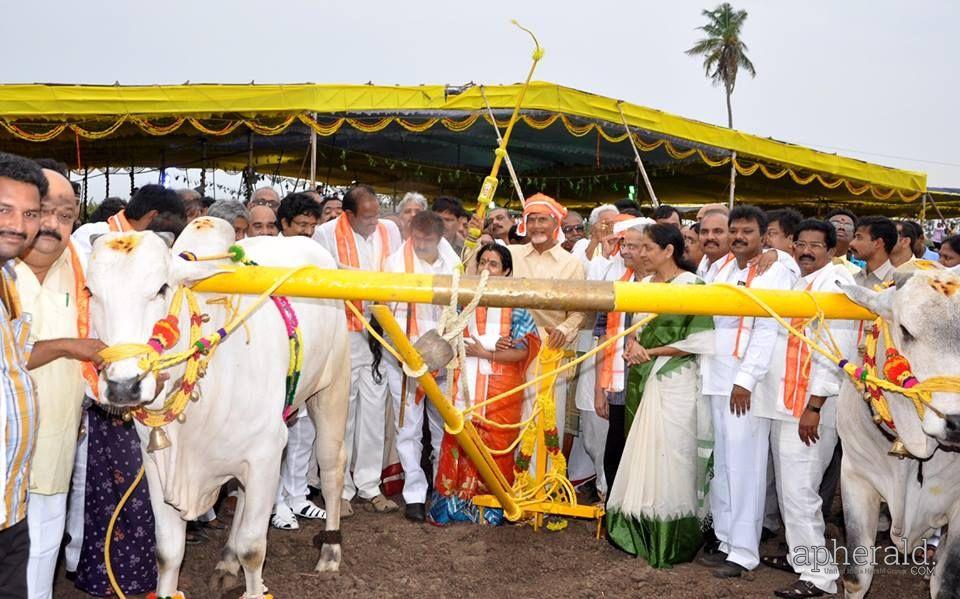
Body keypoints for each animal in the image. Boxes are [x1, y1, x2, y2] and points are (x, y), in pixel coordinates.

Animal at [88, 219, 350, 599]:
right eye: (91, 292)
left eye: (162, 288)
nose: (124, 385)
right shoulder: (157, 464)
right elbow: (167, 552)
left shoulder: (266, 454)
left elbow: (253, 548)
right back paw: (227, 560)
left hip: (332, 389)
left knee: (332, 468)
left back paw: (330, 552)